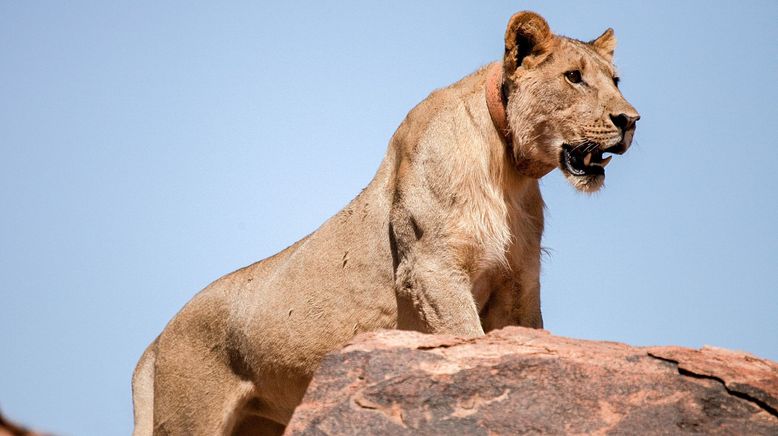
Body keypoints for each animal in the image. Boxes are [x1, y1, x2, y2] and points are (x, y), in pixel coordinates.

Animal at [133, 11, 636, 436]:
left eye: (615, 81)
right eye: (573, 77)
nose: (630, 120)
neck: (507, 169)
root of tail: (155, 344)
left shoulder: (518, 283)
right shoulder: (429, 268)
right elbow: (466, 336)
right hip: (188, 420)